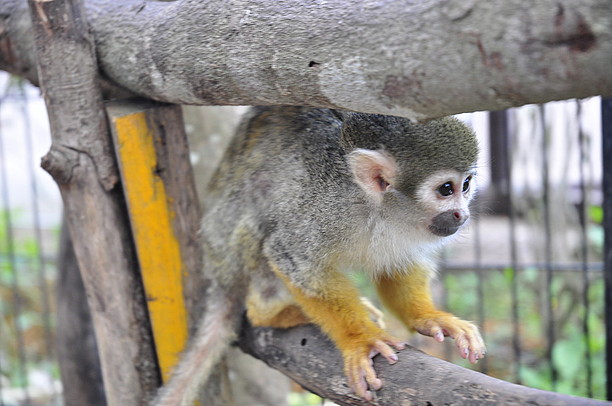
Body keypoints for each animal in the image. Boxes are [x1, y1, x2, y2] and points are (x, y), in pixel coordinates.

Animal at [152, 106, 482, 404]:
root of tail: (216, 271)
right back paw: (273, 313)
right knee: (262, 215)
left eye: (466, 186)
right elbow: (288, 255)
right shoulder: (325, 209)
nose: (462, 214)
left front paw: (428, 317)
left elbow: (399, 265)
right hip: (228, 249)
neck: (377, 209)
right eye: (446, 189)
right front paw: (361, 340)